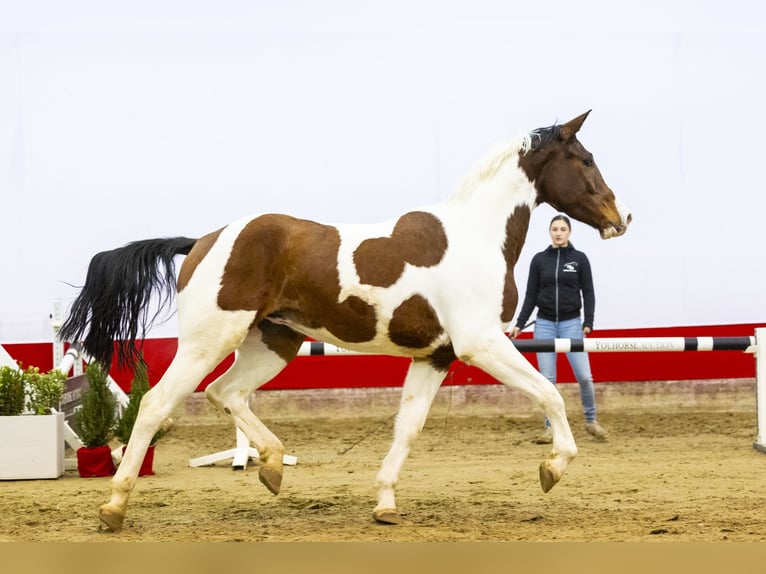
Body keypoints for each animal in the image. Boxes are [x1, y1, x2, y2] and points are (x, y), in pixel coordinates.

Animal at [60, 110, 632, 532]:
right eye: (585, 159)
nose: (620, 219)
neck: (476, 235)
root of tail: (202, 240)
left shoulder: (436, 356)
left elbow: (407, 427)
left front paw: (385, 503)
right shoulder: (483, 343)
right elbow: (550, 394)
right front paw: (553, 468)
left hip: (273, 344)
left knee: (226, 393)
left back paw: (272, 466)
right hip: (208, 340)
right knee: (157, 405)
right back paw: (114, 507)